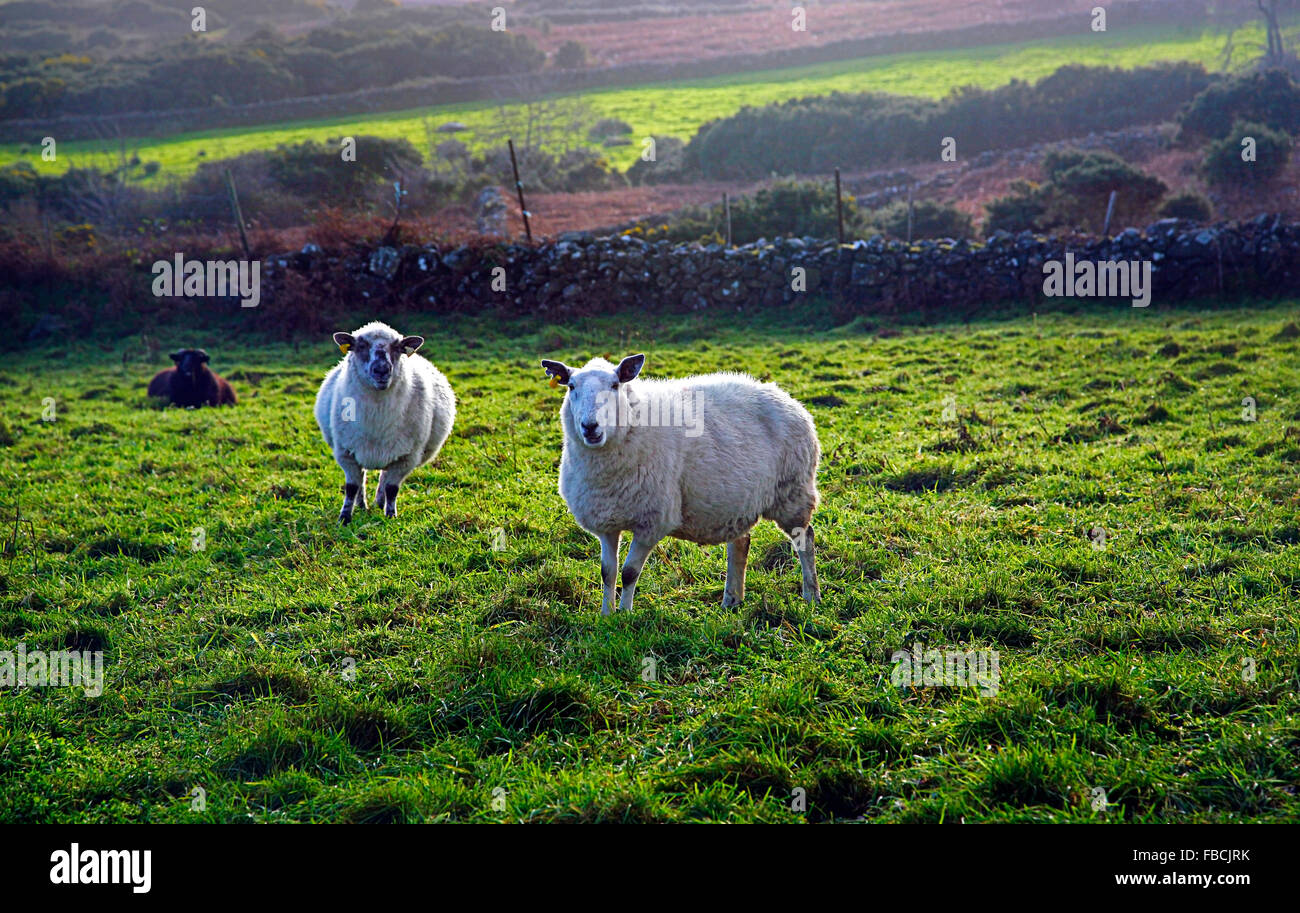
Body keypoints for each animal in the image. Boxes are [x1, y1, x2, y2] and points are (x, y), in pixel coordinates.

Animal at [314, 319, 457, 522]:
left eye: (398, 348)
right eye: (361, 346)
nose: (381, 370)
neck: (377, 416)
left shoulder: (406, 458)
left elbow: (392, 488)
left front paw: (390, 515)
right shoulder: (346, 453)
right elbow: (351, 488)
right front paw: (344, 518)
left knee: (383, 477)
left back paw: (380, 503)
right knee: (362, 479)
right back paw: (362, 504)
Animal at [540, 353, 821, 619]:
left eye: (615, 385)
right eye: (571, 386)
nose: (590, 427)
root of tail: (788, 398)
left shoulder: (652, 521)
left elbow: (629, 572)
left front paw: (625, 615)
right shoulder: (606, 521)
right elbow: (607, 572)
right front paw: (606, 615)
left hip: (792, 492)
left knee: (805, 539)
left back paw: (811, 596)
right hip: (738, 501)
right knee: (740, 544)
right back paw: (732, 600)